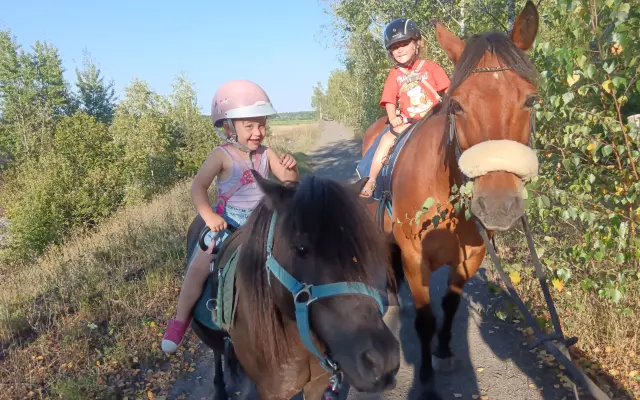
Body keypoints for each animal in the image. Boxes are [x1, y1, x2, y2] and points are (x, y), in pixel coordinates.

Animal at [359, 1, 541, 398]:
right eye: (456, 106)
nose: (498, 204)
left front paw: (444, 351)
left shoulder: (470, 257)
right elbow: (426, 318)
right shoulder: (415, 258)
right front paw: (427, 379)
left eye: (531, 99)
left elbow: (451, 305)